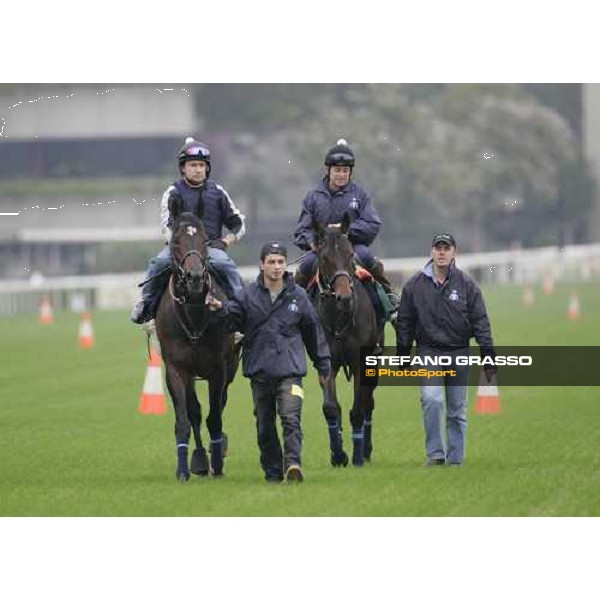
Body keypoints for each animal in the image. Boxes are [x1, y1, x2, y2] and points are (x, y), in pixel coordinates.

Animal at [156, 197, 240, 482]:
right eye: (176, 240)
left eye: (204, 239)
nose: (194, 278)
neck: (193, 316)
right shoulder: (176, 369)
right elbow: (185, 418)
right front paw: (185, 469)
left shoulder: (219, 369)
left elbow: (215, 416)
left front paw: (218, 463)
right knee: (195, 411)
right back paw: (200, 458)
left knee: (220, 404)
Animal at [312, 213, 382, 466]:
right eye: (324, 257)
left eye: (350, 255)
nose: (343, 296)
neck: (340, 317)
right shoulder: (327, 362)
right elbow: (331, 407)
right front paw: (338, 454)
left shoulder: (361, 363)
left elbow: (358, 410)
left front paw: (358, 455)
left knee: (369, 403)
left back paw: (367, 450)